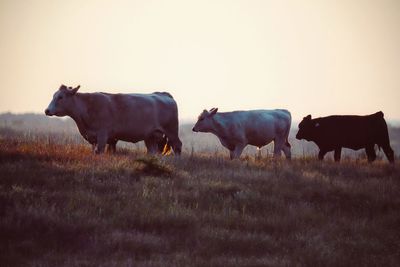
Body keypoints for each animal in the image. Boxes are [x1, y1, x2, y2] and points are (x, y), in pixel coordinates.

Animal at [45, 84, 181, 155]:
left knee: (177, 145)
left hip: (171, 131)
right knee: (152, 151)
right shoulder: (94, 137)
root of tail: (163, 94)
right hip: (150, 136)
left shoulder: (102, 135)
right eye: (53, 96)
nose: (47, 110)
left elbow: (99, 151)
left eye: (60, 97)